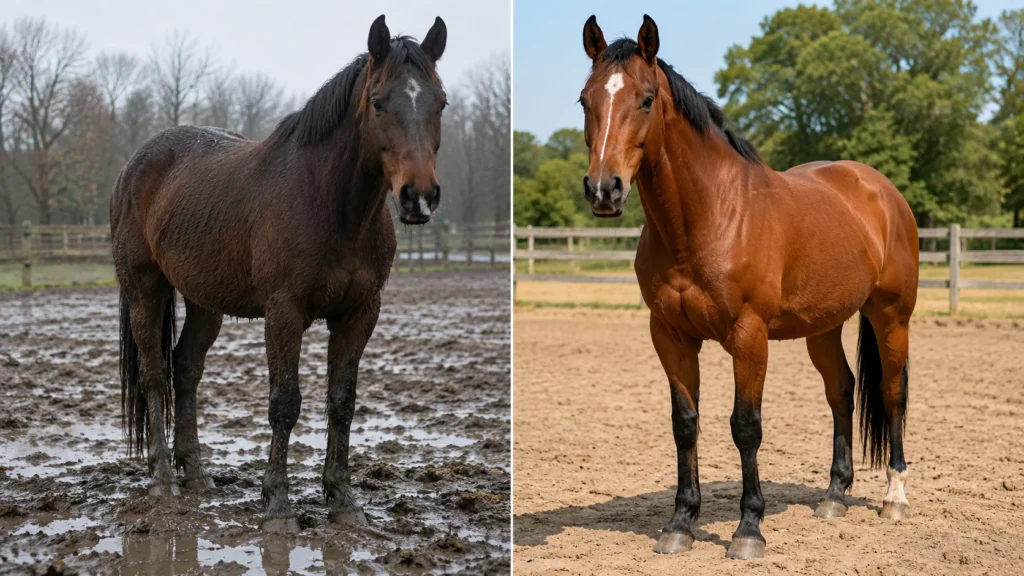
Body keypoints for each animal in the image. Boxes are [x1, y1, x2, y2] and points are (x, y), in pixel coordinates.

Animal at [110, 15, 447, 533]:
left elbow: (342, 402)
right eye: (378, 102)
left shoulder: (359, 314)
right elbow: (284, 403)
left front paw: (342, 498)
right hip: (146, 289)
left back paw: (198, 474)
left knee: (185, 370)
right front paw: (277, 505)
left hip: (204, 301)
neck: (331, 205)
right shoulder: (284, 313)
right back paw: (164, 479)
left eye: (441, 102)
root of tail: (134, 165)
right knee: (153, 375)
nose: (419, 197)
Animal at [577, 15, 918, 560]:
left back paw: (895, 498)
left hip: (891, 315)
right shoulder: (669, 335)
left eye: (646, 99)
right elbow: (685, 423)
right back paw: (834, 496)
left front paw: (748, 530)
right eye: (585, 101)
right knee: (842, 391)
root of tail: (880, 190)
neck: (710, 215)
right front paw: (680, 523)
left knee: (891, 393)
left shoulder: (748, 336)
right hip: (824, 326)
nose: (603, 190)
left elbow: (746, 426)